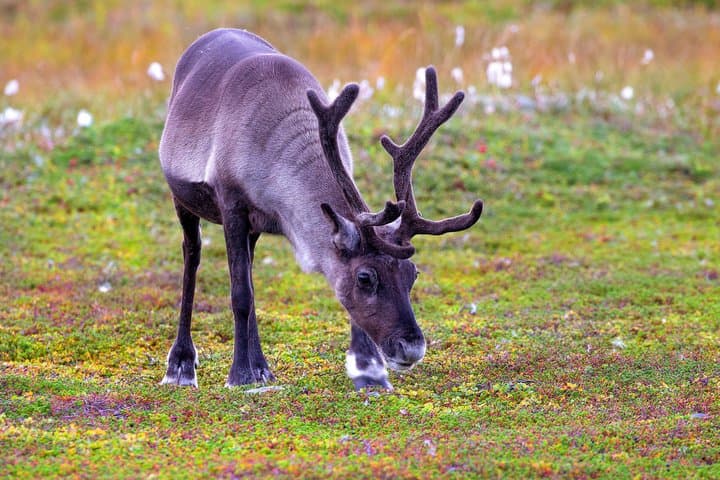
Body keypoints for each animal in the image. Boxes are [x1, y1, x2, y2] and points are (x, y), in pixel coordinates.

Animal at [158, 28, 483, 390]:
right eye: (365, 277)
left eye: (413, 274)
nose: (411, 348)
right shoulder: (232, 203)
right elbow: (240, 293)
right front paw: (239, 374)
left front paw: (368, 371)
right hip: (183, 199)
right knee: (192, 255)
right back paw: (181, 365)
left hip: (252, 229)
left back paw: (262, 366)